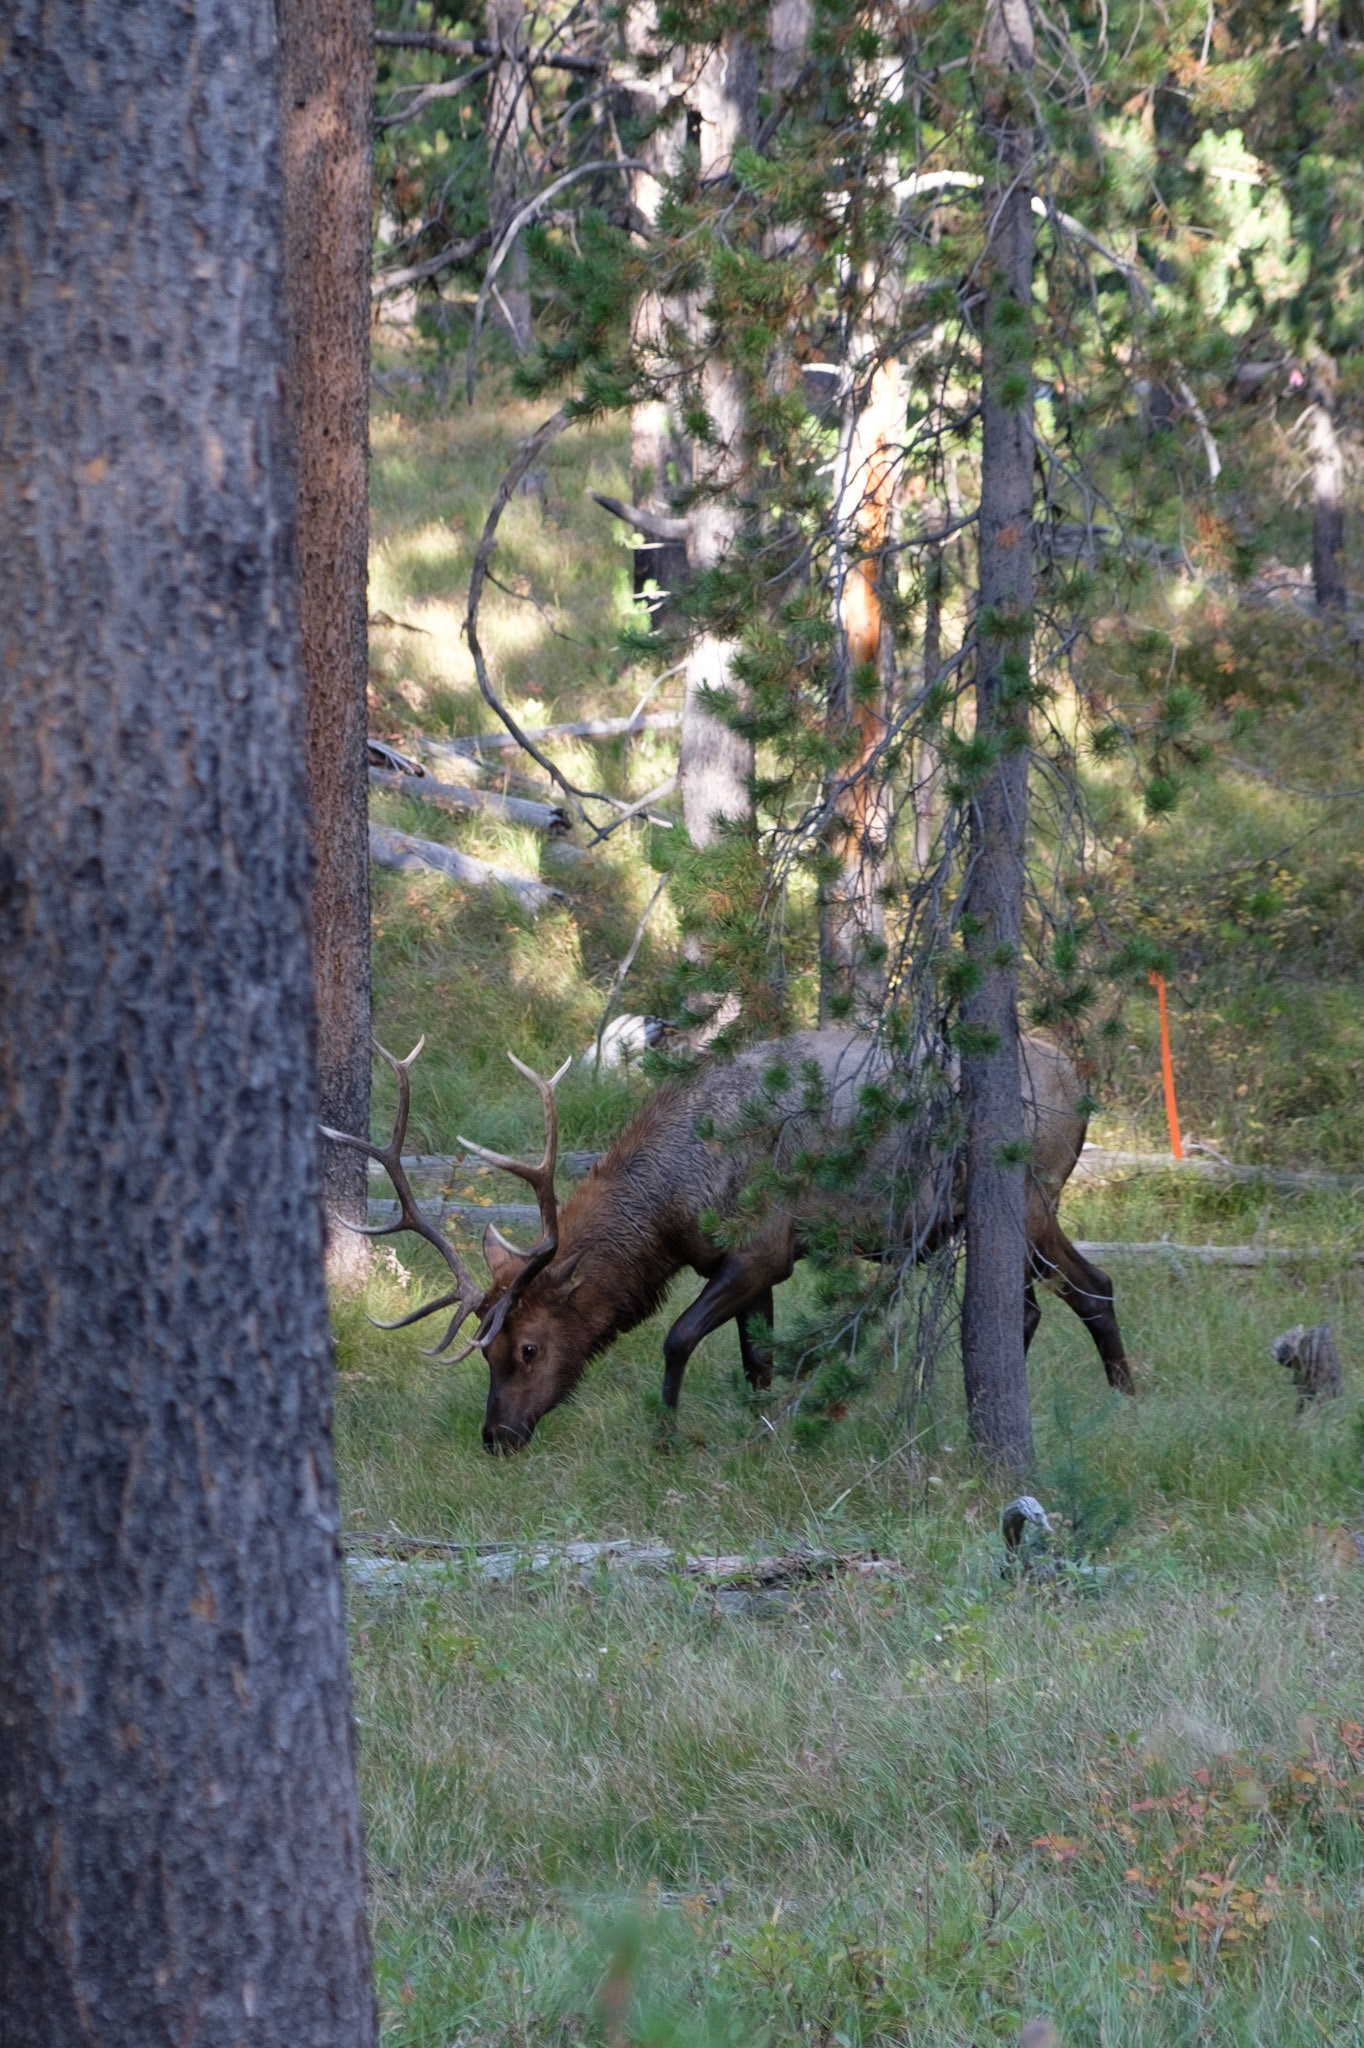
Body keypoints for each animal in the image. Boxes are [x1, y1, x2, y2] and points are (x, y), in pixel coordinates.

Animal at [324, 1029, 1131, 1453]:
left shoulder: (764, 1247)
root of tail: (1082, 1080)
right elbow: (757, 1362)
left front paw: (666, 1435)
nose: (498, 1435)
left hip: (1030, 1194)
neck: (675, 1204)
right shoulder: (745, 1266)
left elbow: (678, 1337)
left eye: (527, 1348)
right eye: (483, 1351)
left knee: (1086, 1287)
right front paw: (764, 1429)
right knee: (1044, 1301)